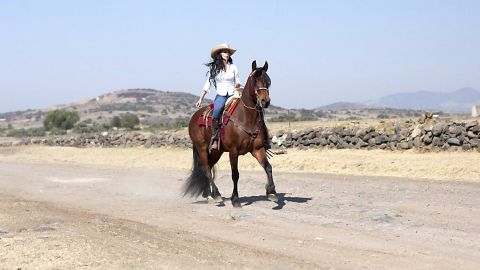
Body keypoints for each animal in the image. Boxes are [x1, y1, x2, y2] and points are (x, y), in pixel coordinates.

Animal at [183, 60, 278, 207]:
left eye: (268, 81)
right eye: (254, 81)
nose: (265, 101)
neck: (246, 117)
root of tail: (194, 116)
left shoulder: (257, 149)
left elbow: (268, 167)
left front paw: (271, 192)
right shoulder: (233, 151)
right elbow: (235, 174)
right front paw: (235, 199)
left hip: (217, 151)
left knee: (209, 167)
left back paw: (208, 194)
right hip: (202, 148)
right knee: (206, 169)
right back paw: (216, 195)